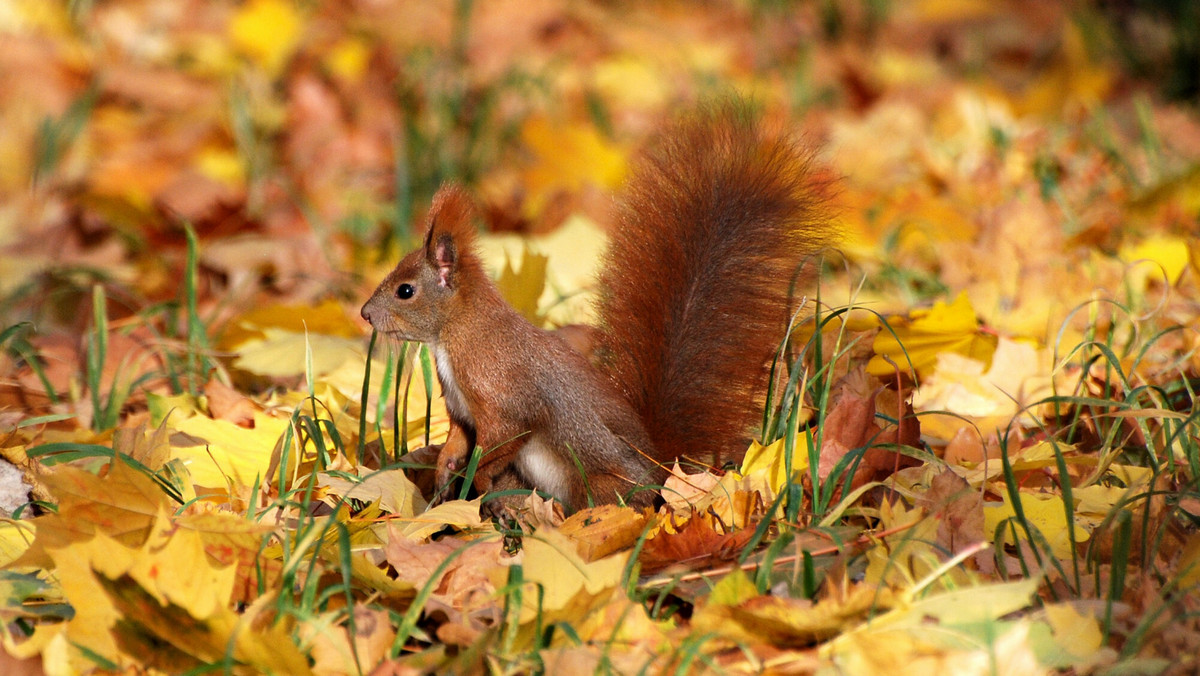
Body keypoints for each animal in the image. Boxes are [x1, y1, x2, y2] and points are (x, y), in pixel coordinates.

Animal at [362, 103, 835, 511]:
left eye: (405, 291)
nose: (365, 314)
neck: (454, 334)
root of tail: (664, 473)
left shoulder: (504, 397)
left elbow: (501, 442)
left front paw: (477, 480)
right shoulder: (463, 412)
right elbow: (459, 442)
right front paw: (445, 474)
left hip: (596, 482)